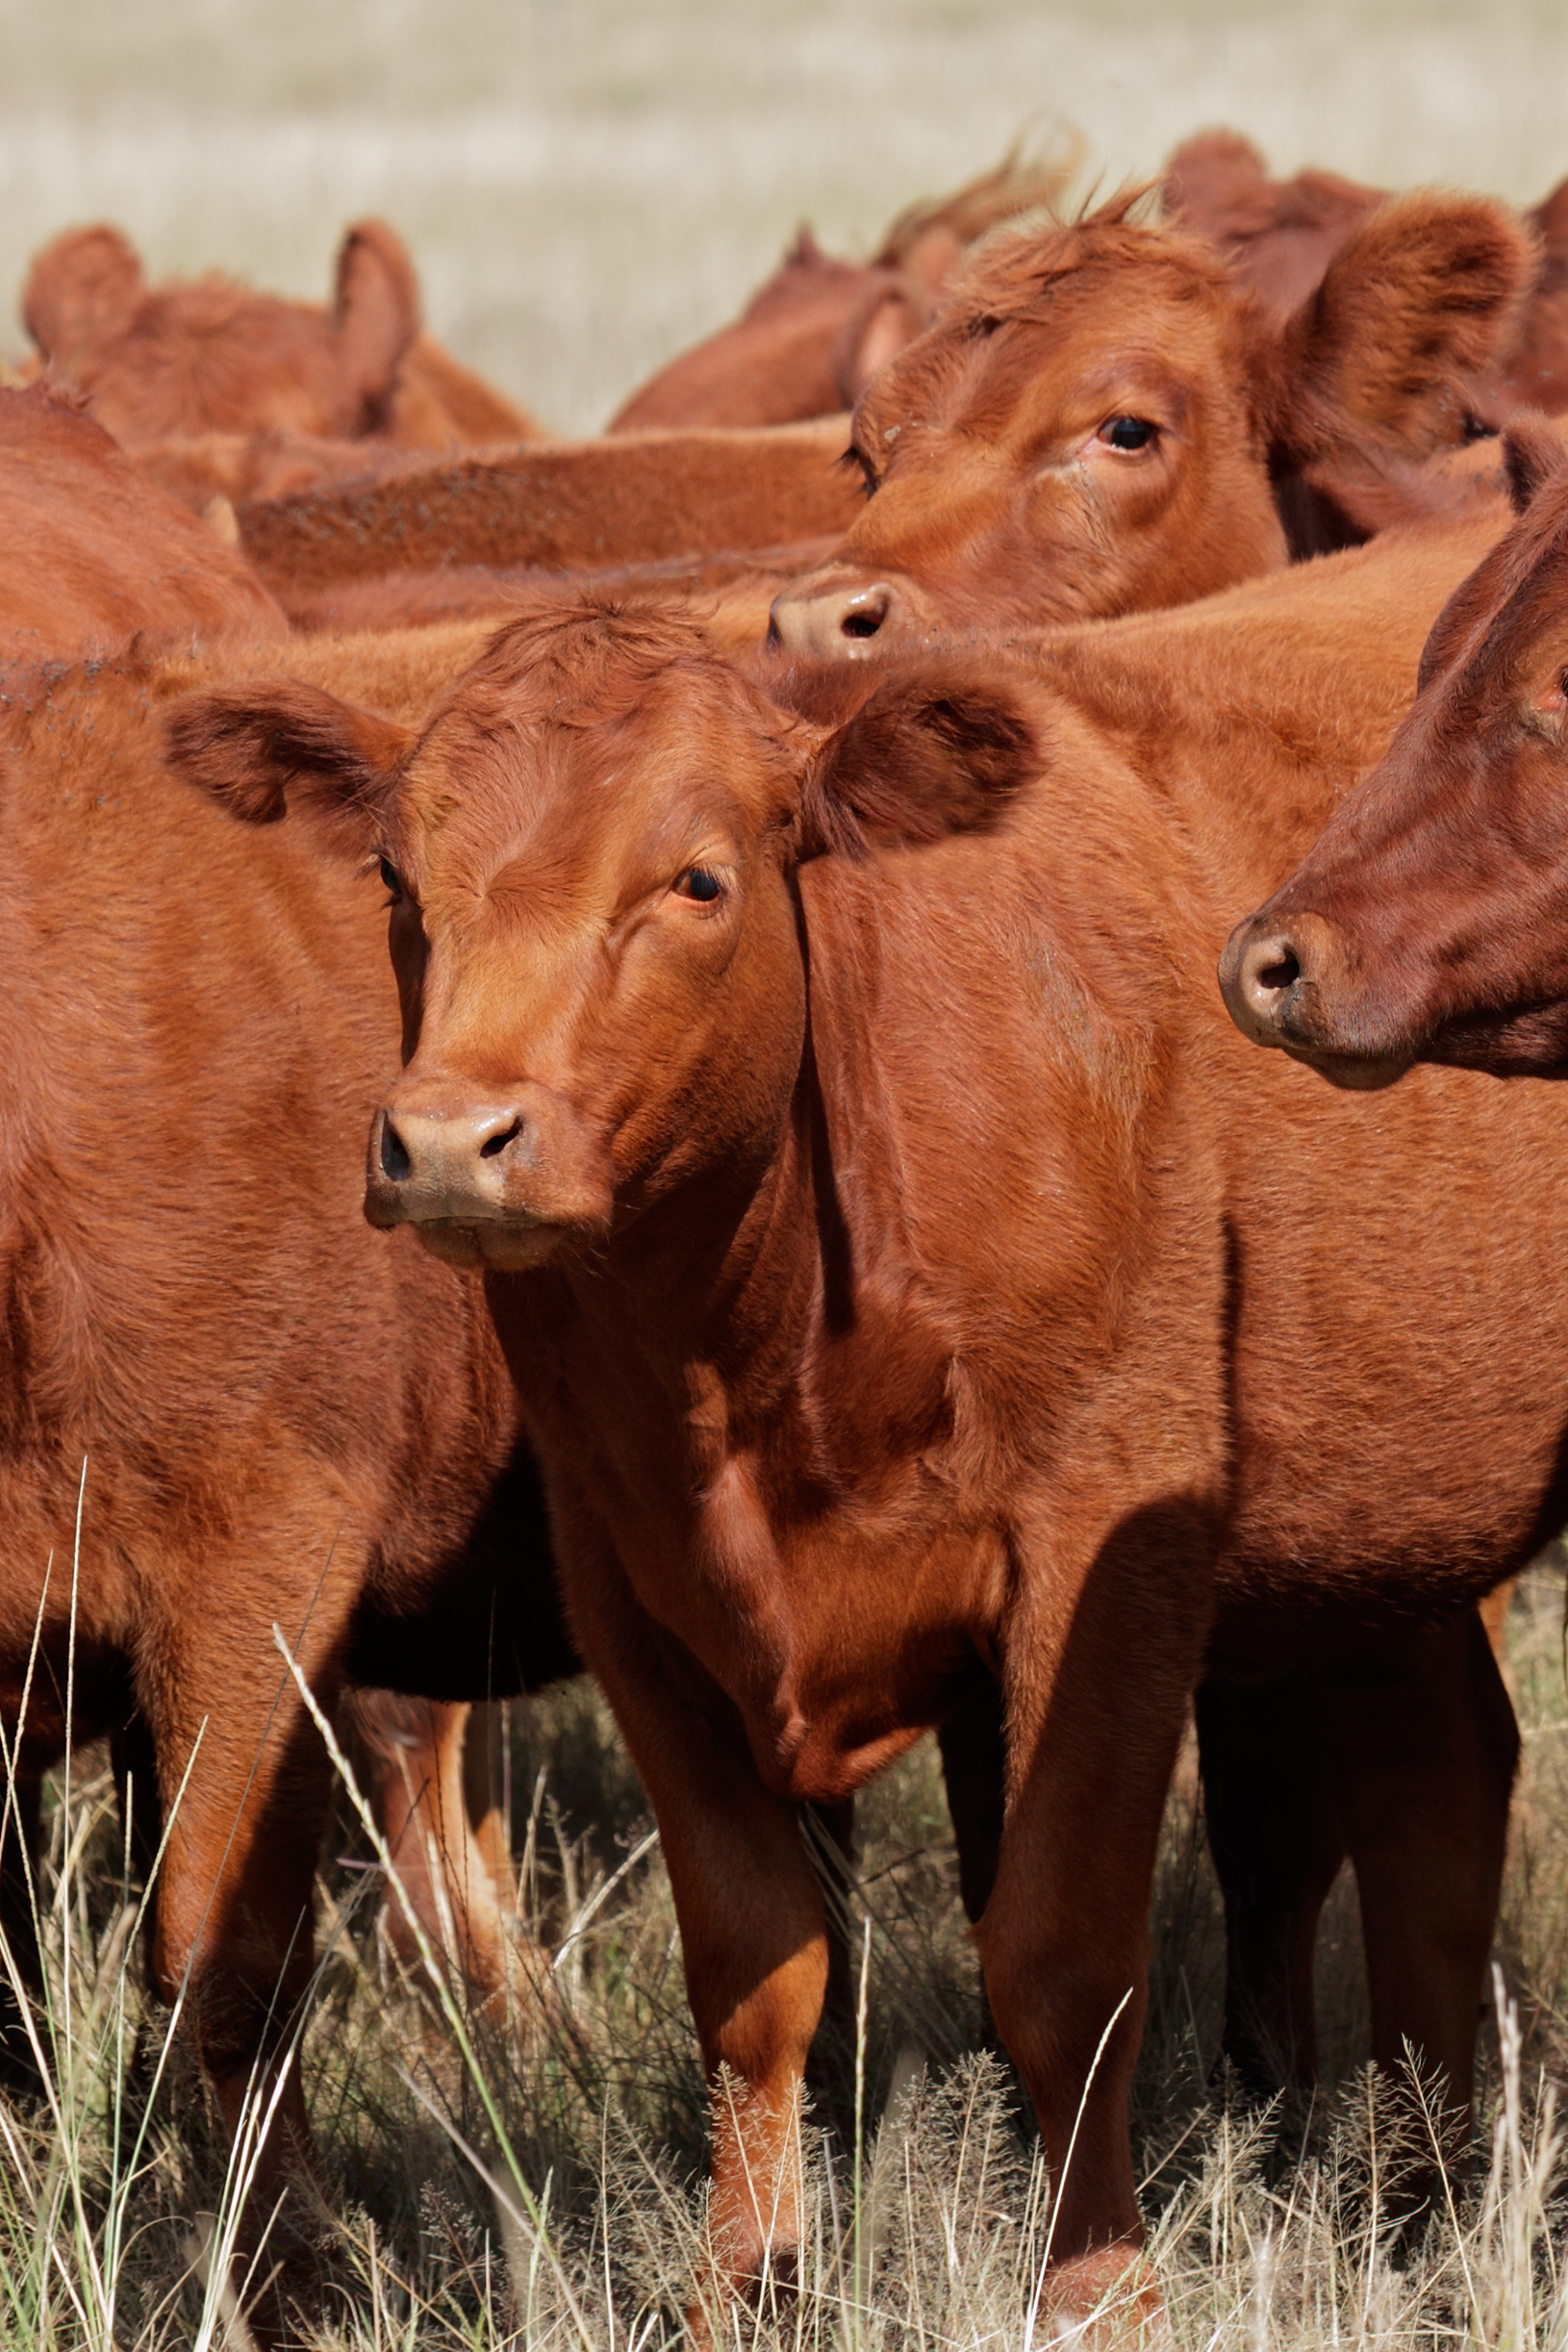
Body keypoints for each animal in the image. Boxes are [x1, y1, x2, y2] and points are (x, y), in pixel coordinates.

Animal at [173, 512, 1568, 2332]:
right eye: (400, 884)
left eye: (698, 880)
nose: (453, 1140)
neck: (751, 1355)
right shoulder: (633, 1591)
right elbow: (752, 1968)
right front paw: (740, 2288)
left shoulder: (1104, 1551)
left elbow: (1056, 1954)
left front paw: (1095, 2295)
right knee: (1433, 1782)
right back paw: (1422, 2195)